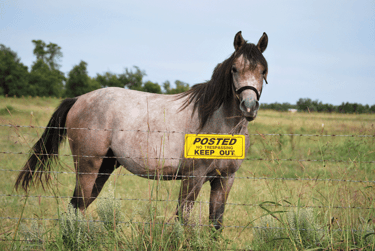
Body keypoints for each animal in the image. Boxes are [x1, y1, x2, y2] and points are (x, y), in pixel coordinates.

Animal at [14, 31, 268, 231]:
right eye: (234, 69)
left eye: (263, 70)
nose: (249, 107)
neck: (217, 123)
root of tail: (78, 99)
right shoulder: (193, 178)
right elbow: (183, 220)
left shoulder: (225, 180)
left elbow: (216, 223)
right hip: (88, 168)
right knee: (76, 206)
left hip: (104, 169)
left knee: (78, 207)